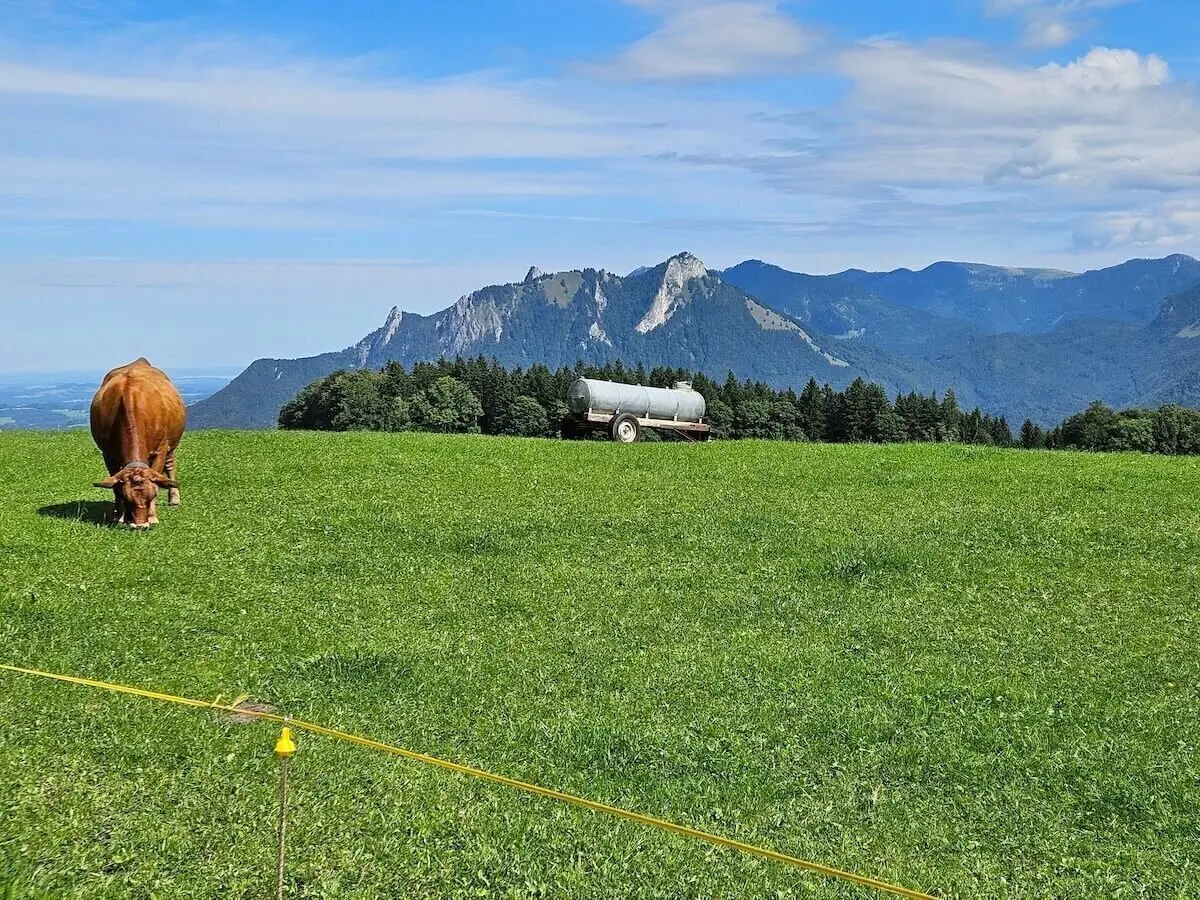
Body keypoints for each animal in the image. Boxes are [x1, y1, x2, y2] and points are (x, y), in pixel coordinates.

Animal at [90, 358, 187, 529]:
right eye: (126, 498)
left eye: (152, 496)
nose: (140, 525)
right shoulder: (108, 453)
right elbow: (115, 484)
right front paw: (119, 517)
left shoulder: (161, 448)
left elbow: (157, 480)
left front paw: (153, 517)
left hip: (171, 444)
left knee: (170, 466)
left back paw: (174, 498)